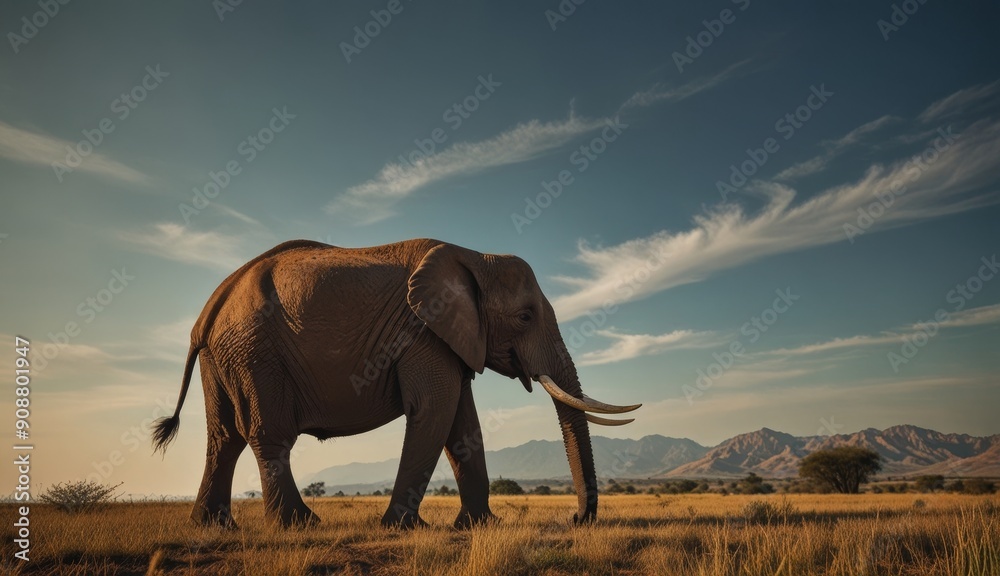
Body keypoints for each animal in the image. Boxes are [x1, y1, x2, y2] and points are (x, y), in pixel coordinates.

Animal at [152, 238, 640, 529]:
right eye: (524, 317)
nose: (576, 520)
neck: (473, 257)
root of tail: (209, 310)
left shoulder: (448, 339)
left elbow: (462, 424)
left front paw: (481, 526)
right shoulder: (423, 333)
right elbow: (434, 411)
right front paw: (406, 529)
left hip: (224, 355)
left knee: (223, 438)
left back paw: (212, 527)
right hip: (255, 351)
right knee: (267, 433)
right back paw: (300, 525)